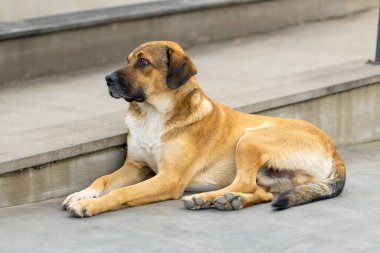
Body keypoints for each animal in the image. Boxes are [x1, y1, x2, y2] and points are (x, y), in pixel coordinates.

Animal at [63, 40, 348, 216]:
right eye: (128, 59)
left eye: (143, 62)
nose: (107, 79)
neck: (152, 115)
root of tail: (333, 149)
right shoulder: (135, 166)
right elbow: (103, 180)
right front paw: (82, 194)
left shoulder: (169, 178)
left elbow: (122, 191)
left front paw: (90, 205)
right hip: (271, 175)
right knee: (259, 192)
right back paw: (229, 201)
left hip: (250, 139)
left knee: (244, 182)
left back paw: (206, 198)